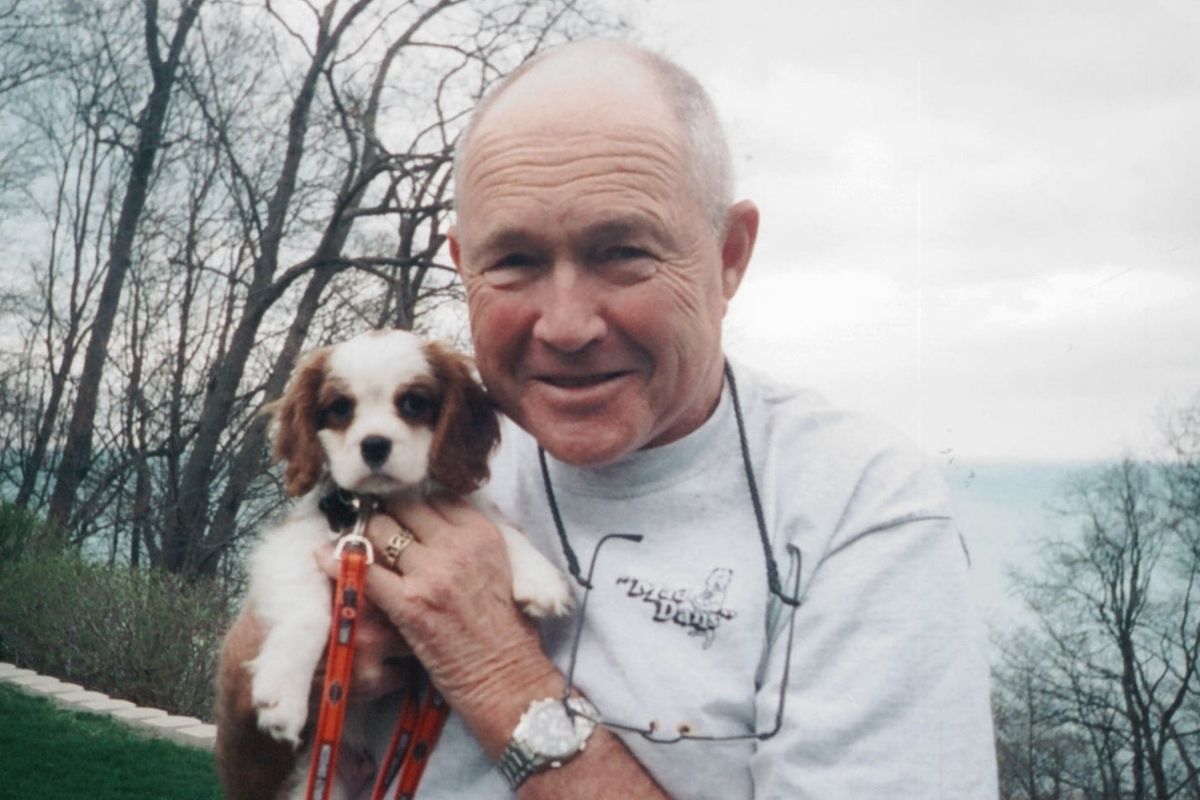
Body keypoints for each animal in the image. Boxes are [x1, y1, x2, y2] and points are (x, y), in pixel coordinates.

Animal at [244, 328, 571, 796]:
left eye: (414, 402)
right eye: (340, 408)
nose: (375, 444)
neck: (380, 505)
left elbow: (495, 525)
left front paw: (540, 578)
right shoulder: (293, 544)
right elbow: (309, 616)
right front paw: (283, 695)